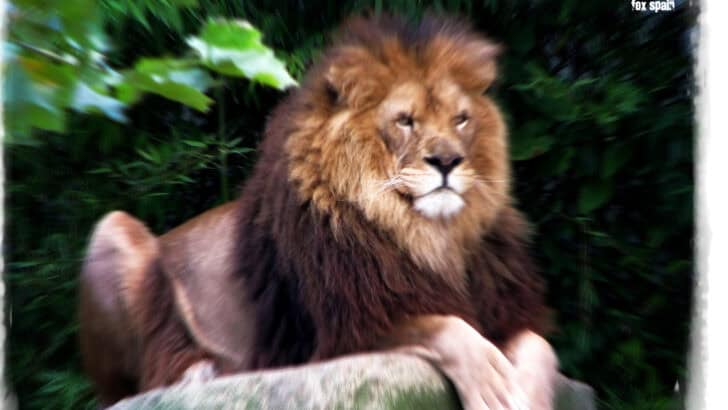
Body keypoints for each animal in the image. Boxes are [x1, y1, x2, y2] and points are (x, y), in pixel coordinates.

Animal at [79, 15, 559, 410]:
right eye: (405, 120)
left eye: (461, 119)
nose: (447, 161)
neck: (429, 234)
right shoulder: (337, 334)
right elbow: (445, 327)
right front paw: (490, 380)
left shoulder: (502, 308)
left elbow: (540, 346)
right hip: (113, 228)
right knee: (131, 386)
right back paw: (196, 372)